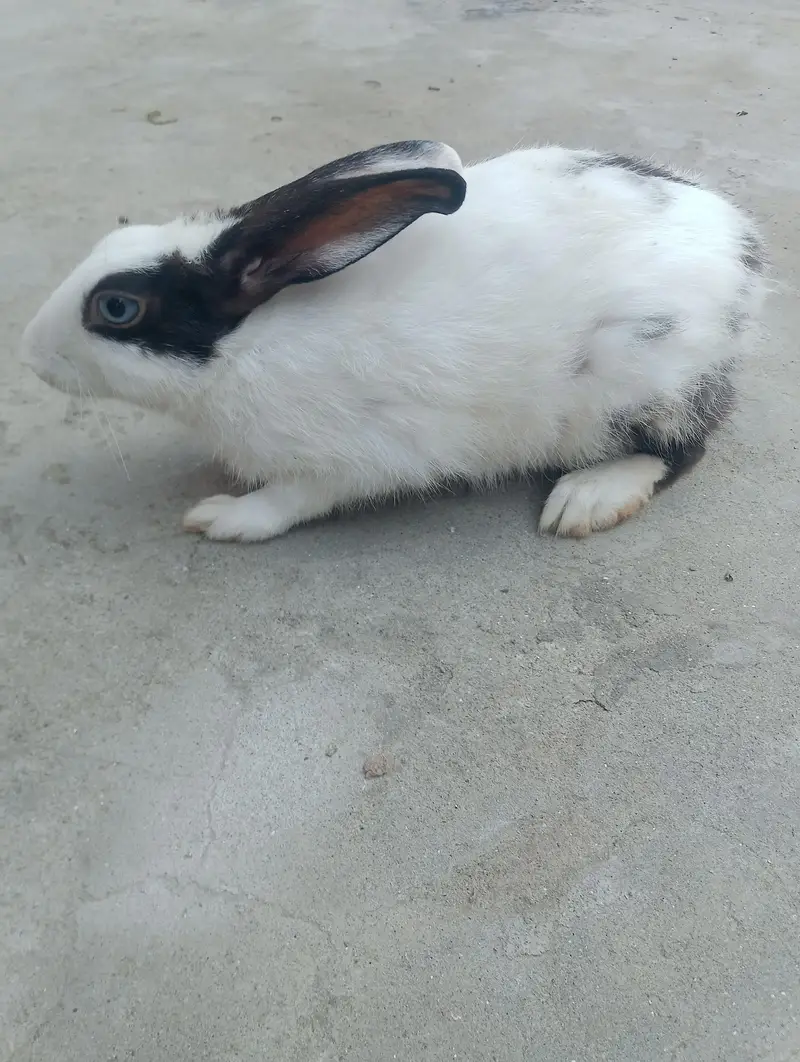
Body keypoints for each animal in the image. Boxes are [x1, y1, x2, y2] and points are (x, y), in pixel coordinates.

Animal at [20, 139, 767, 542]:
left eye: (117, 307)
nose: (28, 354)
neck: (246, 344)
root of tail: (740, 247)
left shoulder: (348, 459)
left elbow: (291, 501)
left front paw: (224, 517)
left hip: (640, 380)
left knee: (683, 448)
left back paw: (587, 497)